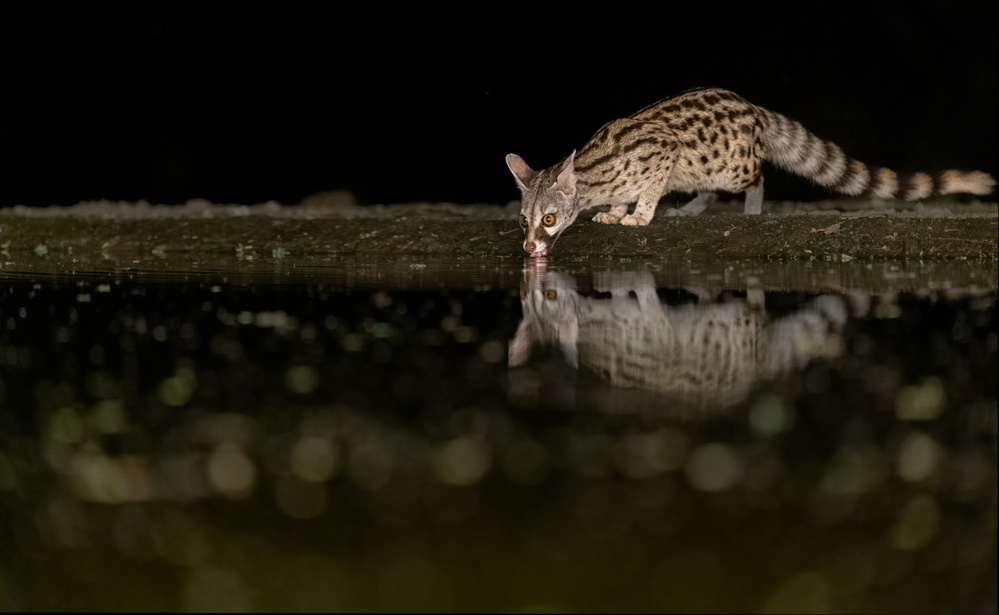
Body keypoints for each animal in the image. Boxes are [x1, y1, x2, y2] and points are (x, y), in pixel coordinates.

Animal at [512, 88, 996, 256]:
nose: (529, 247)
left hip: (731, 165)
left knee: (758, 177)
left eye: (549, 219)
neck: (594, 169)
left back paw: (752, 207)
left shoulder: (664, 151)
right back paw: (693, 207)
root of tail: (756, 110)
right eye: (523, 220)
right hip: (704, 169)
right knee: (708, 189)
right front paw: (615, 211)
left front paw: (639, 214)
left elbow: (648, 190)